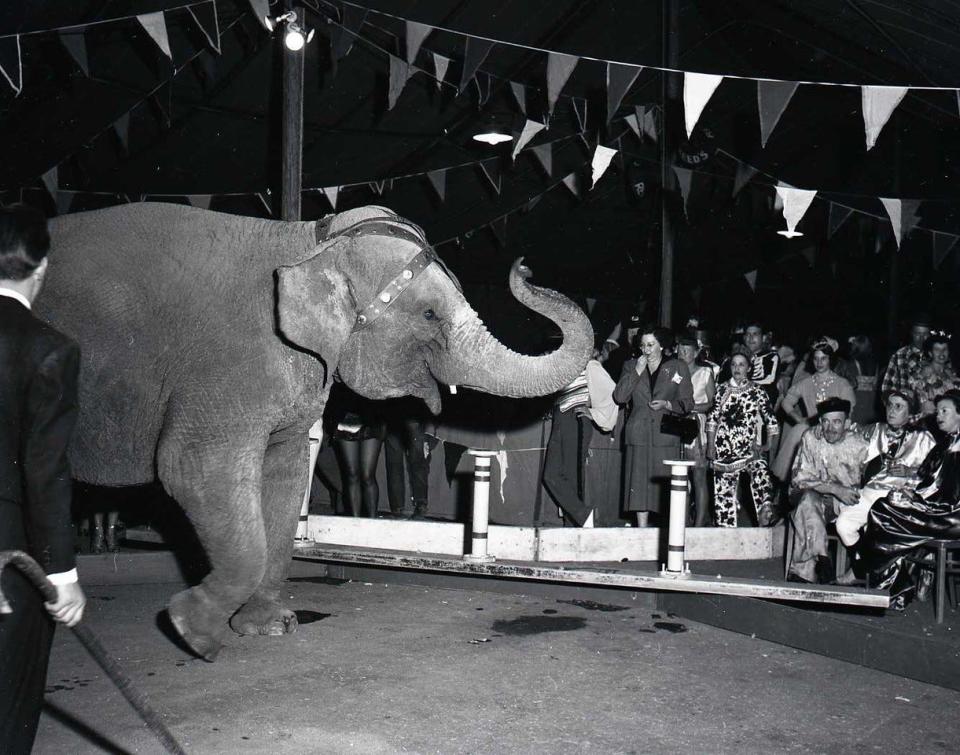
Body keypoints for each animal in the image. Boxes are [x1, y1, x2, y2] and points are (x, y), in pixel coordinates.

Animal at [35, 201, 592, 660]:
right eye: (429, 313)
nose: (524, 265)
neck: (307, 242)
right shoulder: (223, 370)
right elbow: (190, 469)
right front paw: (191, 631)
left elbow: (283, 476)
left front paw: (268, 627)